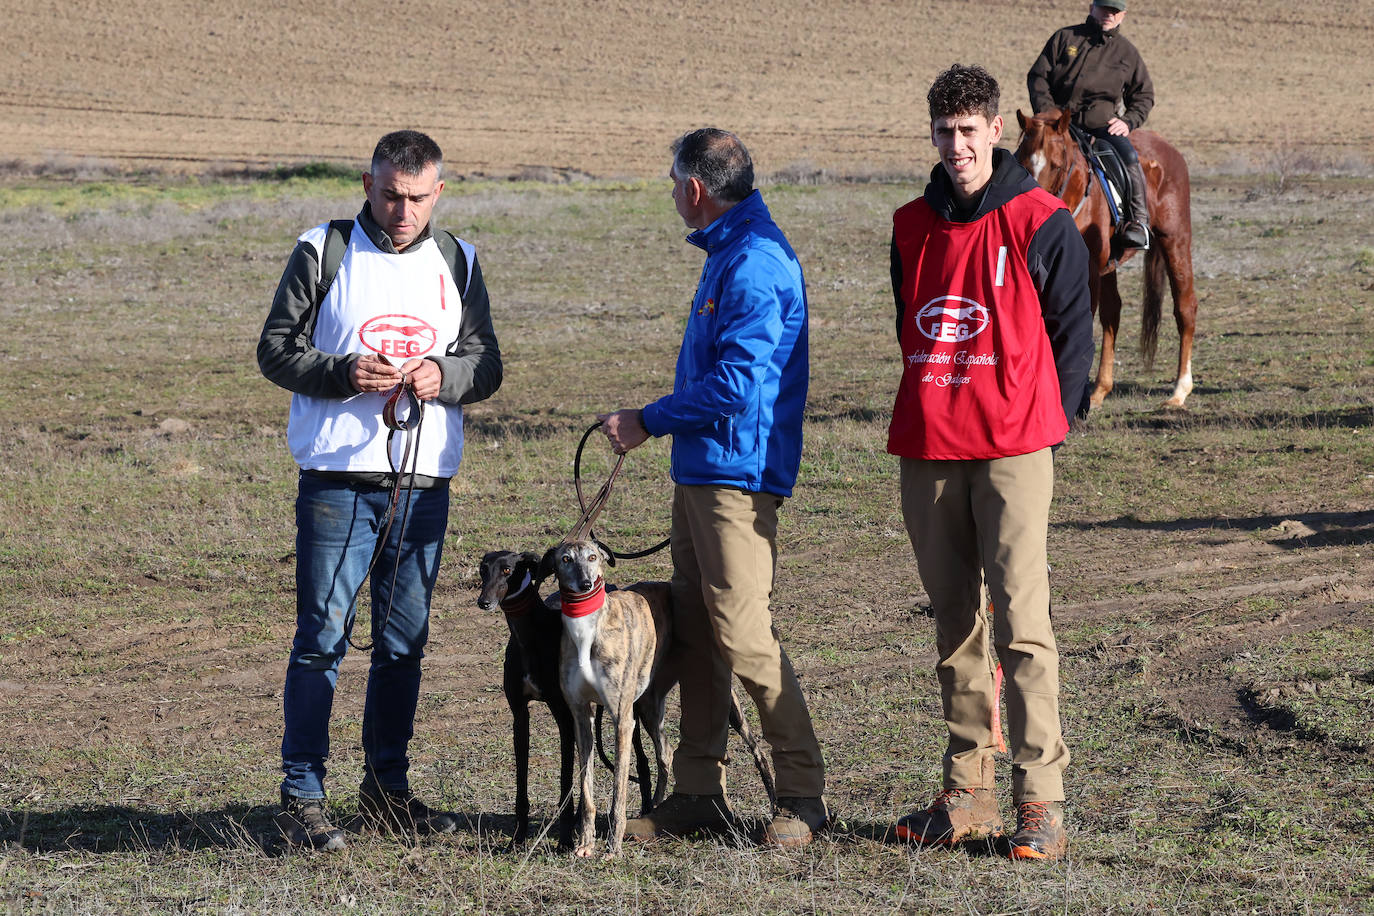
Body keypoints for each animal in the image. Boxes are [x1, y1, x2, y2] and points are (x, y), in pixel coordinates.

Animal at [1016, 108, 1198, 409]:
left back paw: (1180, 390)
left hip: (1176, 240)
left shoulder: (1086, 273)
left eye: (1057, 165)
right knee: (1113, 313)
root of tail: (1168, 148)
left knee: (1184, 307)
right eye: (1021, 162)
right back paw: (1101, 388)